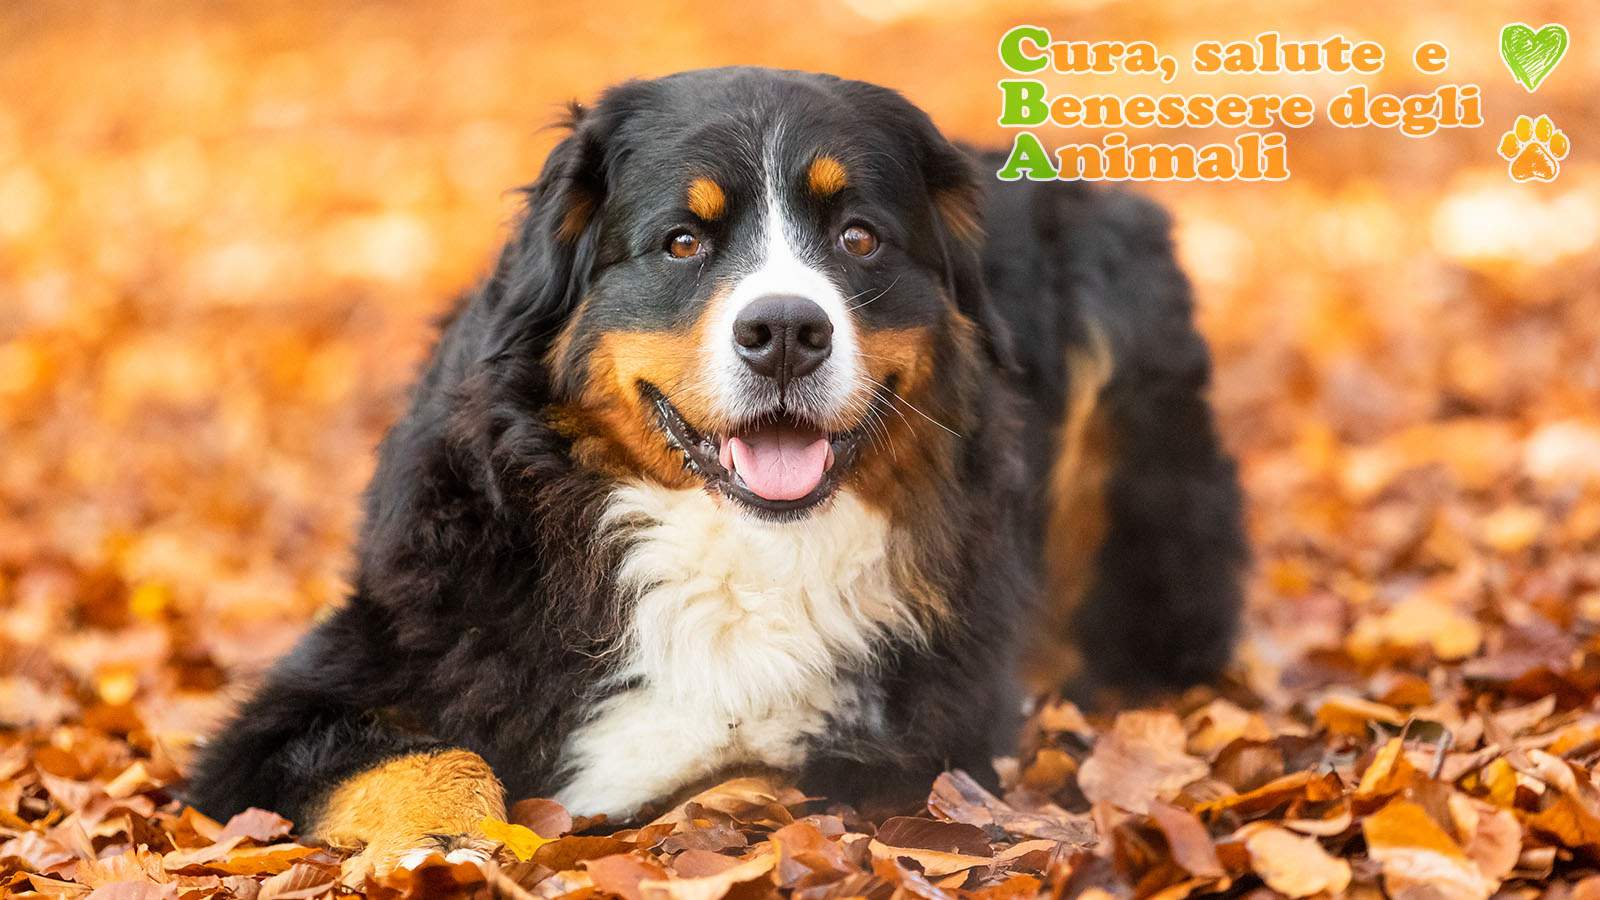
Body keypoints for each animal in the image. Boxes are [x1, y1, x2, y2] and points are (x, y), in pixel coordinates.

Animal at [184, 66, 1248, 864]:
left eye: (858, 236)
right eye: (683, 241)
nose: (784, 332)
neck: (740, 548)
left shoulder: (925, 744)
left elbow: (751, 773)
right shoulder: (299, 712)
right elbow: (430, 761)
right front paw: (442, 844)